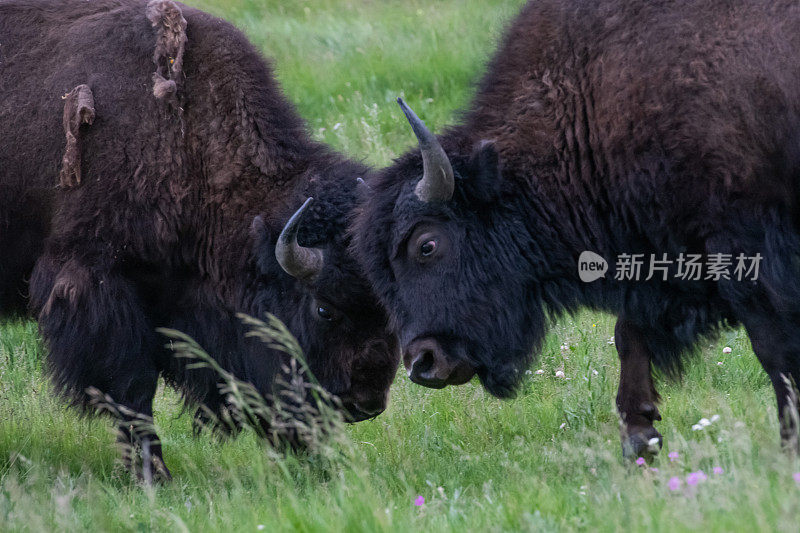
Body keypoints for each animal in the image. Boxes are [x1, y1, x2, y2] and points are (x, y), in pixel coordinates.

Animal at [352, 0, 800, 458]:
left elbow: (773, 350)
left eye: (426, 244)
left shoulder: (746, 255)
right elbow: (629, 335)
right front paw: (639, 438)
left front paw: (788, 445)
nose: (423, 364)